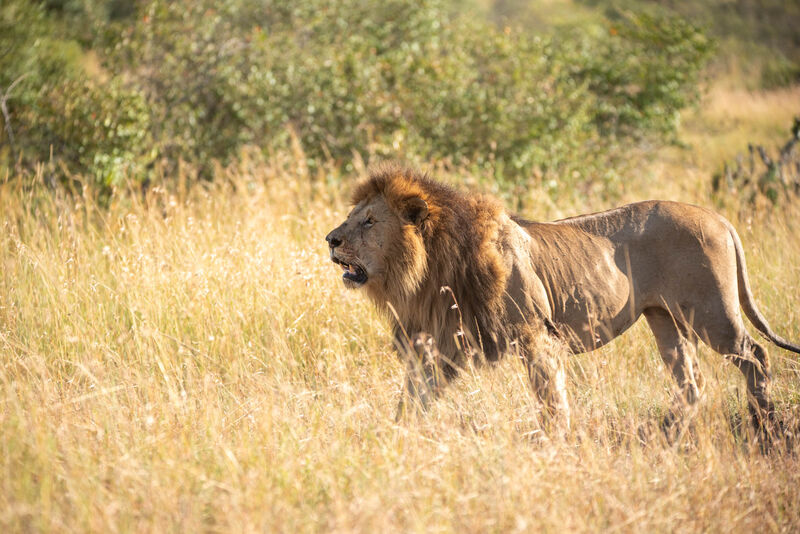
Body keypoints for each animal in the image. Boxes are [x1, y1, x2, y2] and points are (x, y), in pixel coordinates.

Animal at [325, 163, 800, 431]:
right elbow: (413, 397)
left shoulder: (536, 334)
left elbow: (550, 397)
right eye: (352, 216)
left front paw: (555, 440)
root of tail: (719, 217)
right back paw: (667, 433)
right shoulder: (436, 345)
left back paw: (766, 423)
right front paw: (399, 436)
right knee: (692, 382)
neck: (428, 272)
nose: (330, 239)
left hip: (711, 312)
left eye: (369, 222)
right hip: (664, 319)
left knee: (756, 356)